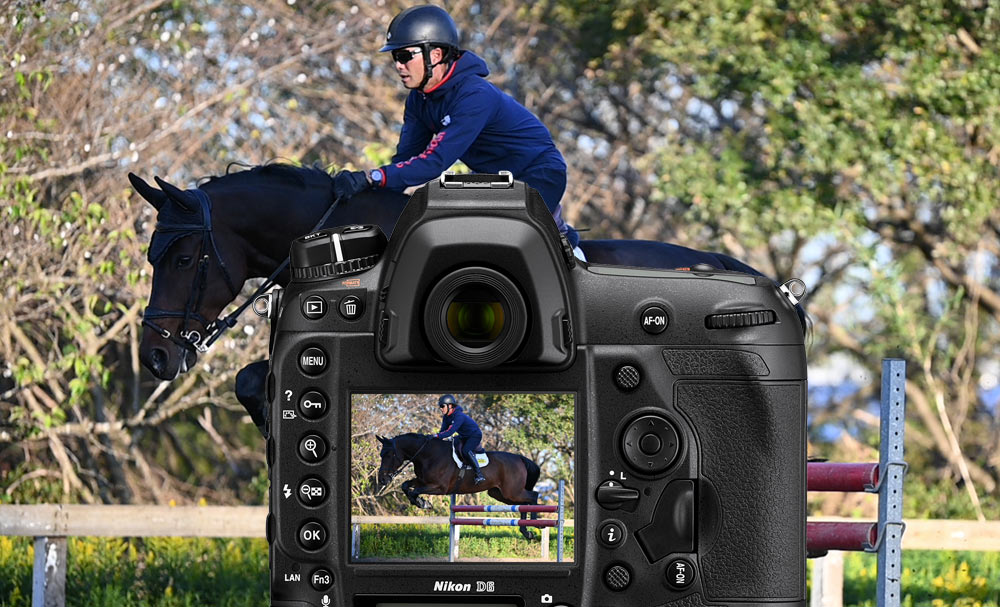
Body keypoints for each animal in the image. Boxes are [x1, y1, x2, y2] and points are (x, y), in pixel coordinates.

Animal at [376, 432, 544, 540]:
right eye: (381, 454)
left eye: (389, 454)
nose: (382, 479)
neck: (428, 455)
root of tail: (520, 458)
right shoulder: (422, 481)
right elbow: (406, 486)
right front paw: (420, 502)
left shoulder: (440, 487)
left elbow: (414, 491)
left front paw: (424, 503)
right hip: (500, 494)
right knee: (523, 504)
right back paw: (526, 531)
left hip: (512, 492)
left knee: (533, 496)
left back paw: (537, 524)